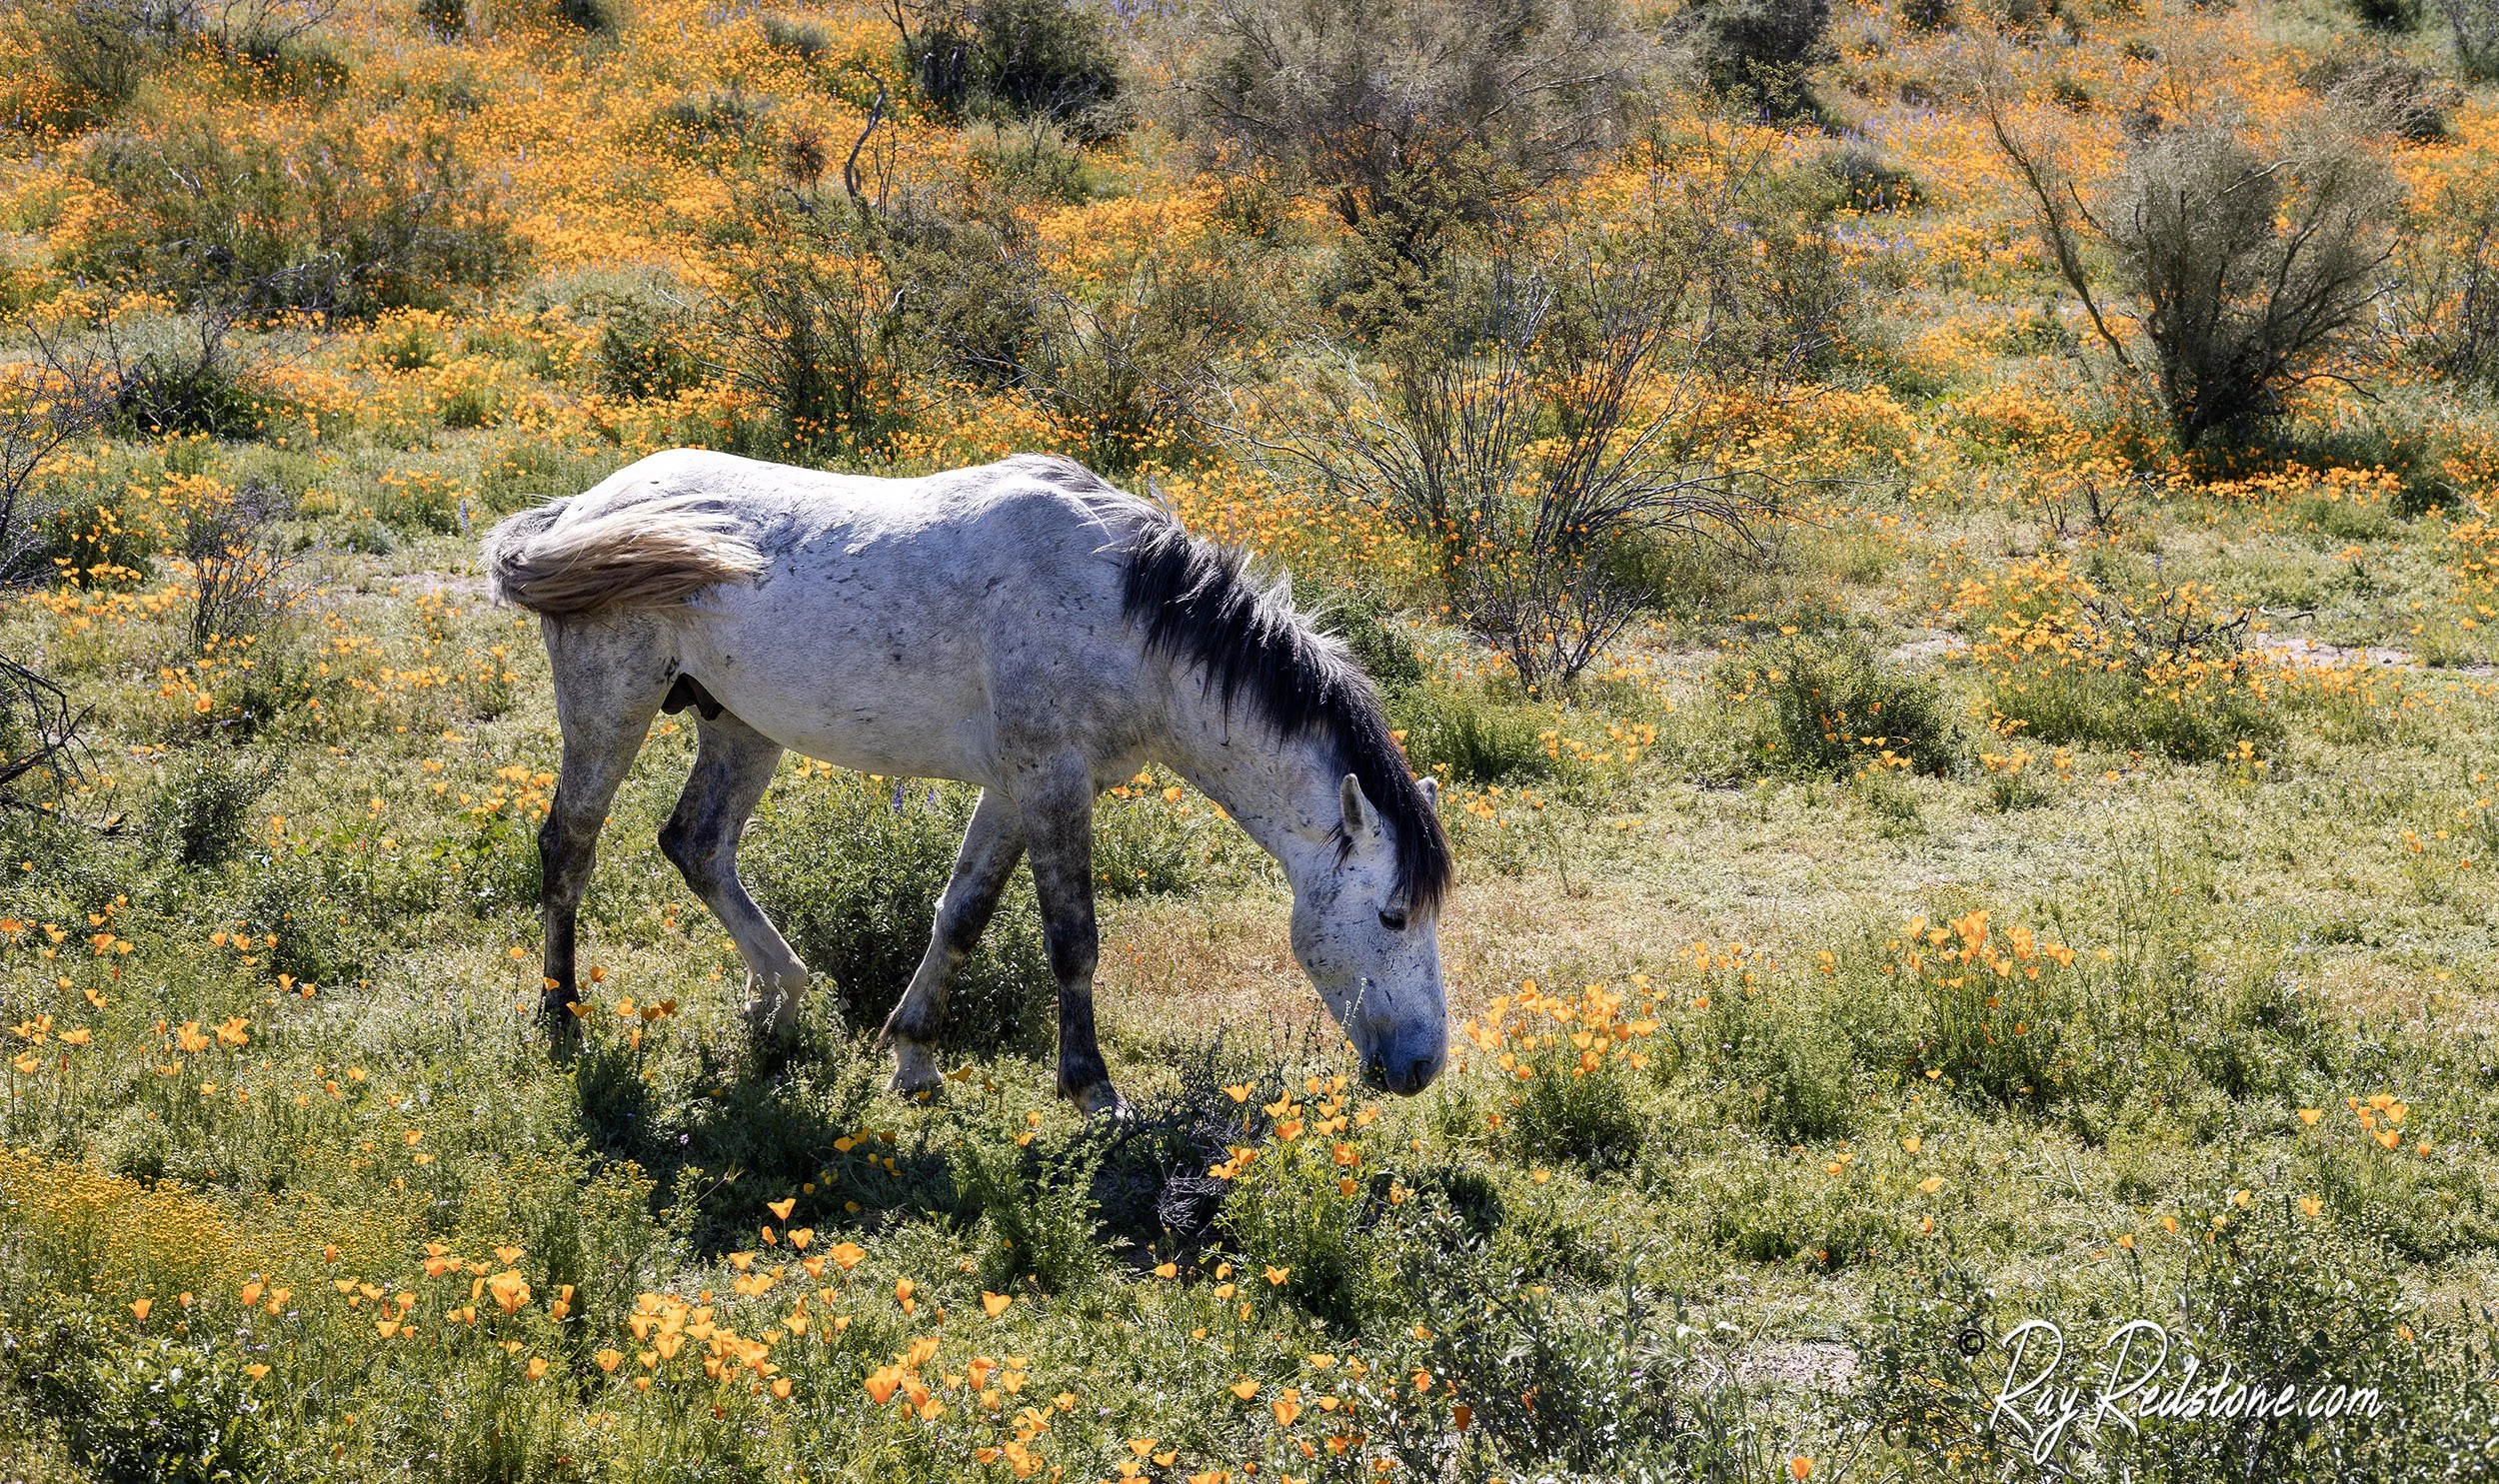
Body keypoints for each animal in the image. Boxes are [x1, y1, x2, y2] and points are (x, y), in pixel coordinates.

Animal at [480, 448, 1454, 1115]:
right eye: (1391, 916)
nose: (1424, 1066)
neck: (1129, 619)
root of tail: (578, 508)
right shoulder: (1052, 781)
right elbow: (1073, 939)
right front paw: (1094, 1090)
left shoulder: (1015, 787)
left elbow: (960, 916)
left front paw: (912, 1058)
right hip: (612, 703)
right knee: (569, 845)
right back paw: (562, 1014)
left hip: (739, 725)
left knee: (698, 844)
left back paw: (782, 996)